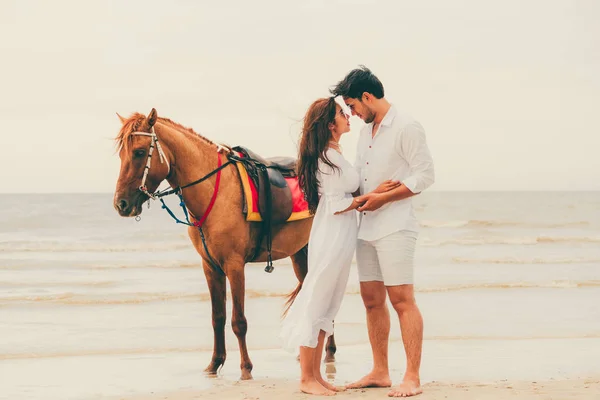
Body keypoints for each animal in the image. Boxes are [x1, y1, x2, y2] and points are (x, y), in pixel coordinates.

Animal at [112, 108, 338, 380]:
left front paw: (246, 368)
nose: (121, 204)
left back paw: (328, 352)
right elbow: (217, 317)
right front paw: (214, 363)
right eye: (122, 153)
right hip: (299, 253)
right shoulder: (210, 267)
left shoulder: (234, 265)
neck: (215, 194)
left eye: (139, 152)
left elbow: (238, 321)